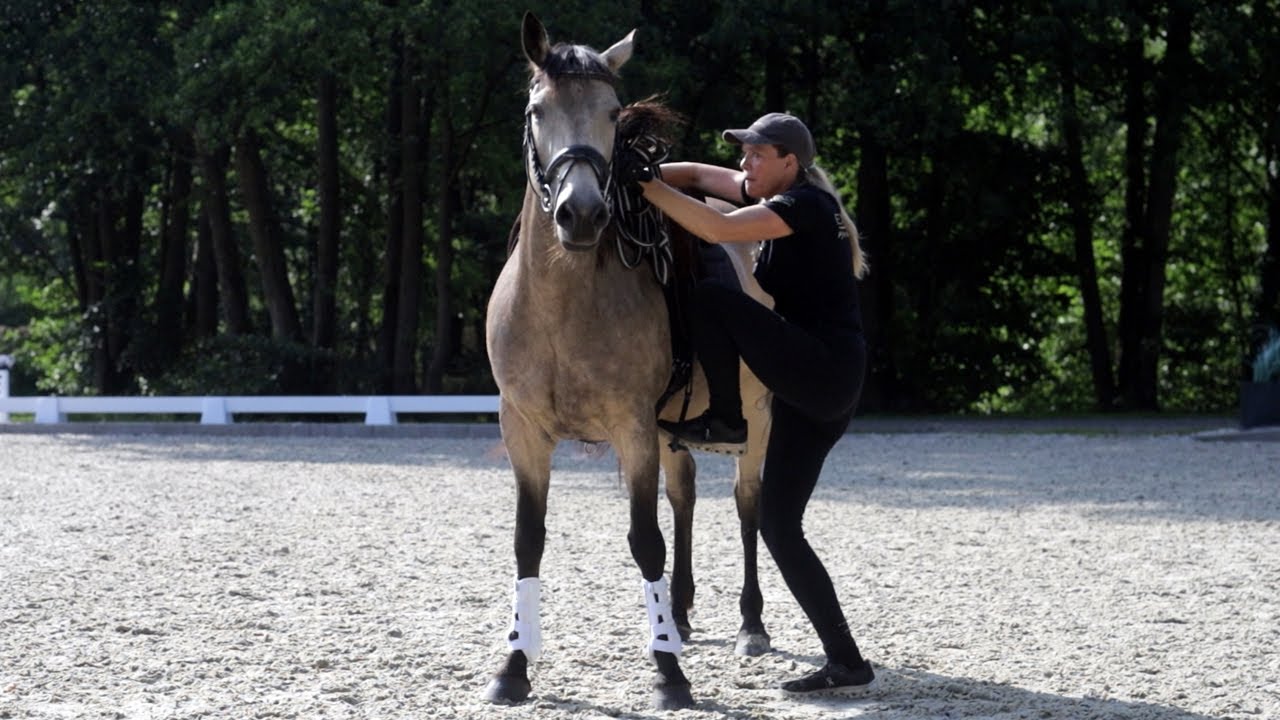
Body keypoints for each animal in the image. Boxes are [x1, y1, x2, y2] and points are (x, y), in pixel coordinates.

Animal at [483, 13, 773, 710]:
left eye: (613, 113)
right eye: (537, 110)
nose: (582, 214)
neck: (563, 306)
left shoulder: (634, 429)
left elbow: (646, 541)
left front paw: (668, 673)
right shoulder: (524, 431)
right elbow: (527, 541)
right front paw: (514, 665)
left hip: (754, 417)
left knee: (748, 506)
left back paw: (749, 624)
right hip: (675, 430)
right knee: (685, 496)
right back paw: (683, 614)